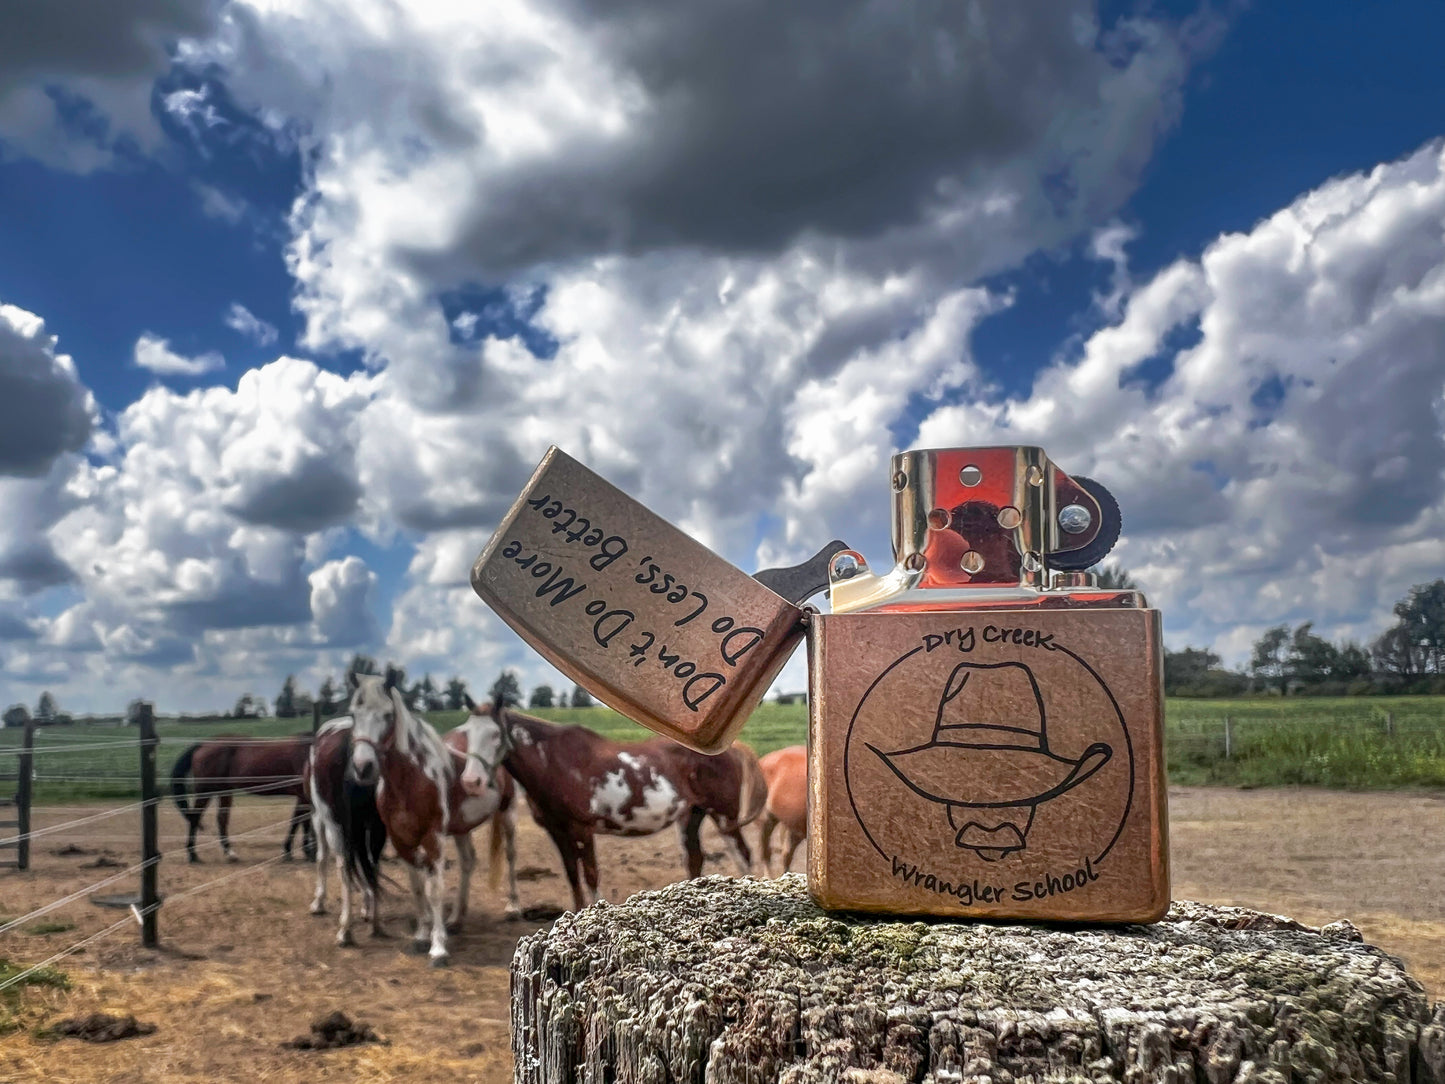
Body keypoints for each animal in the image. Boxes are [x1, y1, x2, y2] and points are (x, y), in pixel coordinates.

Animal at [170, 731, 315, 867]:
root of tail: (204, 744)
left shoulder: (302, 797)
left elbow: (296, 821)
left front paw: (289, 850)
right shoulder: (304, 797)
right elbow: (303, 822)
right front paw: (306, 852)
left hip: (224, 791)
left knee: (221, 818)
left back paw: (229, 853)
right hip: (205, 791)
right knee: (196, 816)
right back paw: (193, 855)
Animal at [468, 699, 774, 913]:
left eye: (494, 735)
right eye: (466, 733)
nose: (472, 780)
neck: (555, 762)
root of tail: (732, 749)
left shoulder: (582, 830)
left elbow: (591, 876)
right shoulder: (557, 831)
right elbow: (572, 877)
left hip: (723, 816)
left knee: (743, 854)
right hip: (692, 816)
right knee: (695, 858)